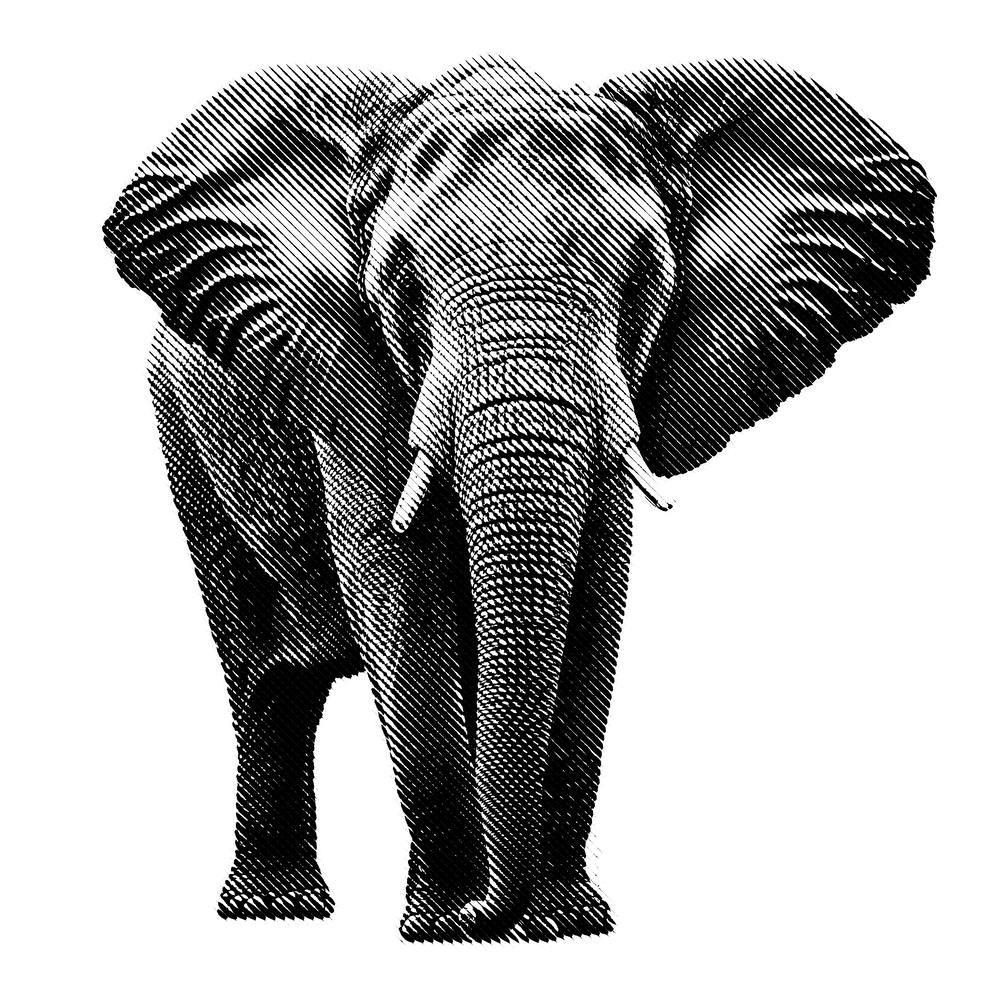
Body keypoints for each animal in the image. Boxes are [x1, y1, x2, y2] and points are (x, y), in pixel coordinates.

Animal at [103, 56, 934, 942]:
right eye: (402, 283)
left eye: (643, 277)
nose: (483, 916)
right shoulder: (352, 382)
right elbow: (402, 597)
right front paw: (443, 928)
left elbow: (594, 606)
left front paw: (565, 925)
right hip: (181, 435)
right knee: (265, 678)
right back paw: (276, 908)